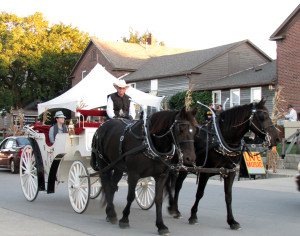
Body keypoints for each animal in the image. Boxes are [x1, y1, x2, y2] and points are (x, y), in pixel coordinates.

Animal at [168, 98, 280, 230]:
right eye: (263, 116)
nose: (277, 138)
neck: (222, 138)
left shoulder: (230, 172)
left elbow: (228, 196)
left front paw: (232, 221)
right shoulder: (205, 171)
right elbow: (199, 193)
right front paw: (193, 215)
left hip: (184, 167)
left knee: (177, 186)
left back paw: (175, 210)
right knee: (176, 186)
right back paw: (174, 209)